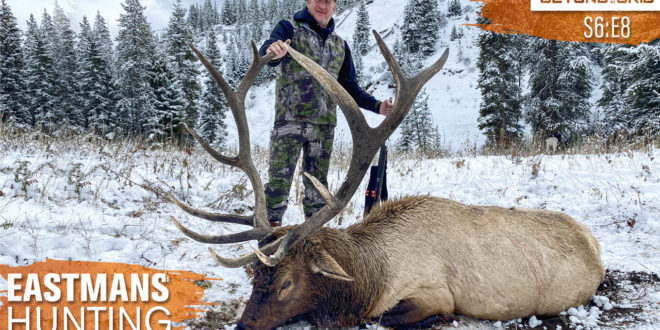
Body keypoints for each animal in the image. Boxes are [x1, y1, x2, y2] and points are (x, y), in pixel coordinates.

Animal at [169, 31, 604, 330]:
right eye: (255, 277)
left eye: (286, 283)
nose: (243, 325)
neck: (368, 278)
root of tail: (595, 245)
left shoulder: (434, 294)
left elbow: (389, 317)